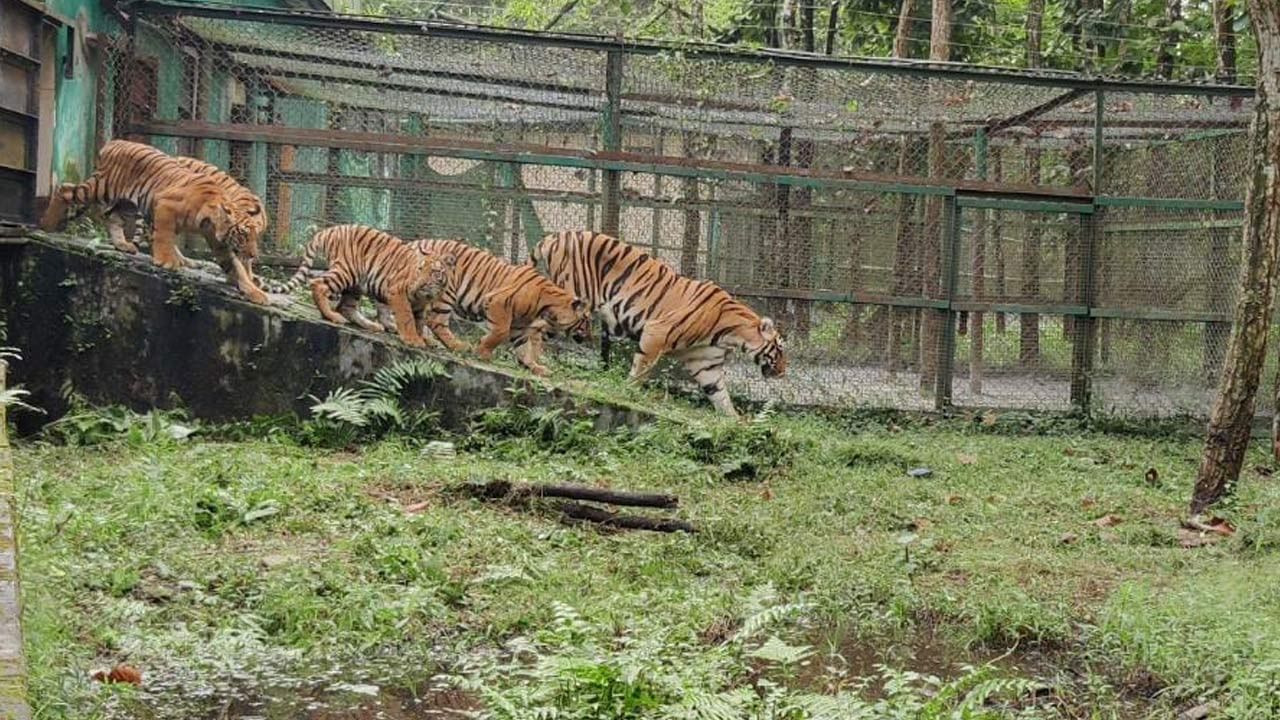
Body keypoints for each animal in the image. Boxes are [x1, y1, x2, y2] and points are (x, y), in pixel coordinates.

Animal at [38, 137, 267, 302]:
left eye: (256, 235)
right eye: (243, 234)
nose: (253, 255)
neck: (210, 221)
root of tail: (114, 142)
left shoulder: (219, 242)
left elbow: (235, 266)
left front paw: (255, 292)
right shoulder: (165, 206)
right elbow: (163, 237)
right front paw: (167, 262)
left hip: (128, 204)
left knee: (112, 218)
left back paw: (123, 245)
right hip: (102, 188)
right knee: (66, 189)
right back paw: (47, 224)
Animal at [264, 224, 455, 348]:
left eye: (433, 272)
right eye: (420, 269)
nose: (420, 283)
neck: (427, 295)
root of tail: (331, 229)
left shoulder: (421, 305)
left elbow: (420, 323)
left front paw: (422, 338)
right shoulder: (398, 293)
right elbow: (407, 318)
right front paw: (413, 340)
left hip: (356, 285)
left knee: (346, 307)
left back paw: (371, 325)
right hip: (347, 271)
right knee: (318, 284)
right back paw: (332, 316)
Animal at [360, 239, 588, 376]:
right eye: (586, 320)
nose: (589, 337)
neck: (548, 307)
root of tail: (415, 243)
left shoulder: (521, 325)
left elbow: (523, 347)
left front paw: (536, 367)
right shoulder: (498, 302)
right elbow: (500, 332)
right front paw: (482, 351)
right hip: (446, 293)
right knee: (436, 322)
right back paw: (458, 345)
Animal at [527, 229, 778, 415]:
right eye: (780, 349)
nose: (782, 372)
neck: (731, 336)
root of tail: (555, 236)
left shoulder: (706, 364)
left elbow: (720, 394)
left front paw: (735, 421)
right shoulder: (656, 332)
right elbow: (641, 367)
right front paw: (628, 391)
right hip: (571, 303)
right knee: (538, 326)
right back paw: (537, 362)